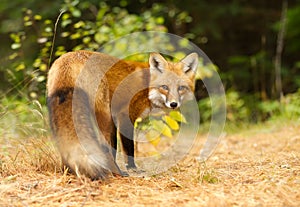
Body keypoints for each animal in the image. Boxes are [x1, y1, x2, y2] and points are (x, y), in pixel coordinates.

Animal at [47, 50, 198, 180]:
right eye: (164, 87)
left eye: (181, 88)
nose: (174, 104)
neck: (147, 85)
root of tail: (69, 58)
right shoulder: (124, 116)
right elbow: (128, 148)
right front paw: (132, 168)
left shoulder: (115, 119)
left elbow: (114, 149)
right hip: (104, 115)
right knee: (103, 146)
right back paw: (117, 173)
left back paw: (68, 171)